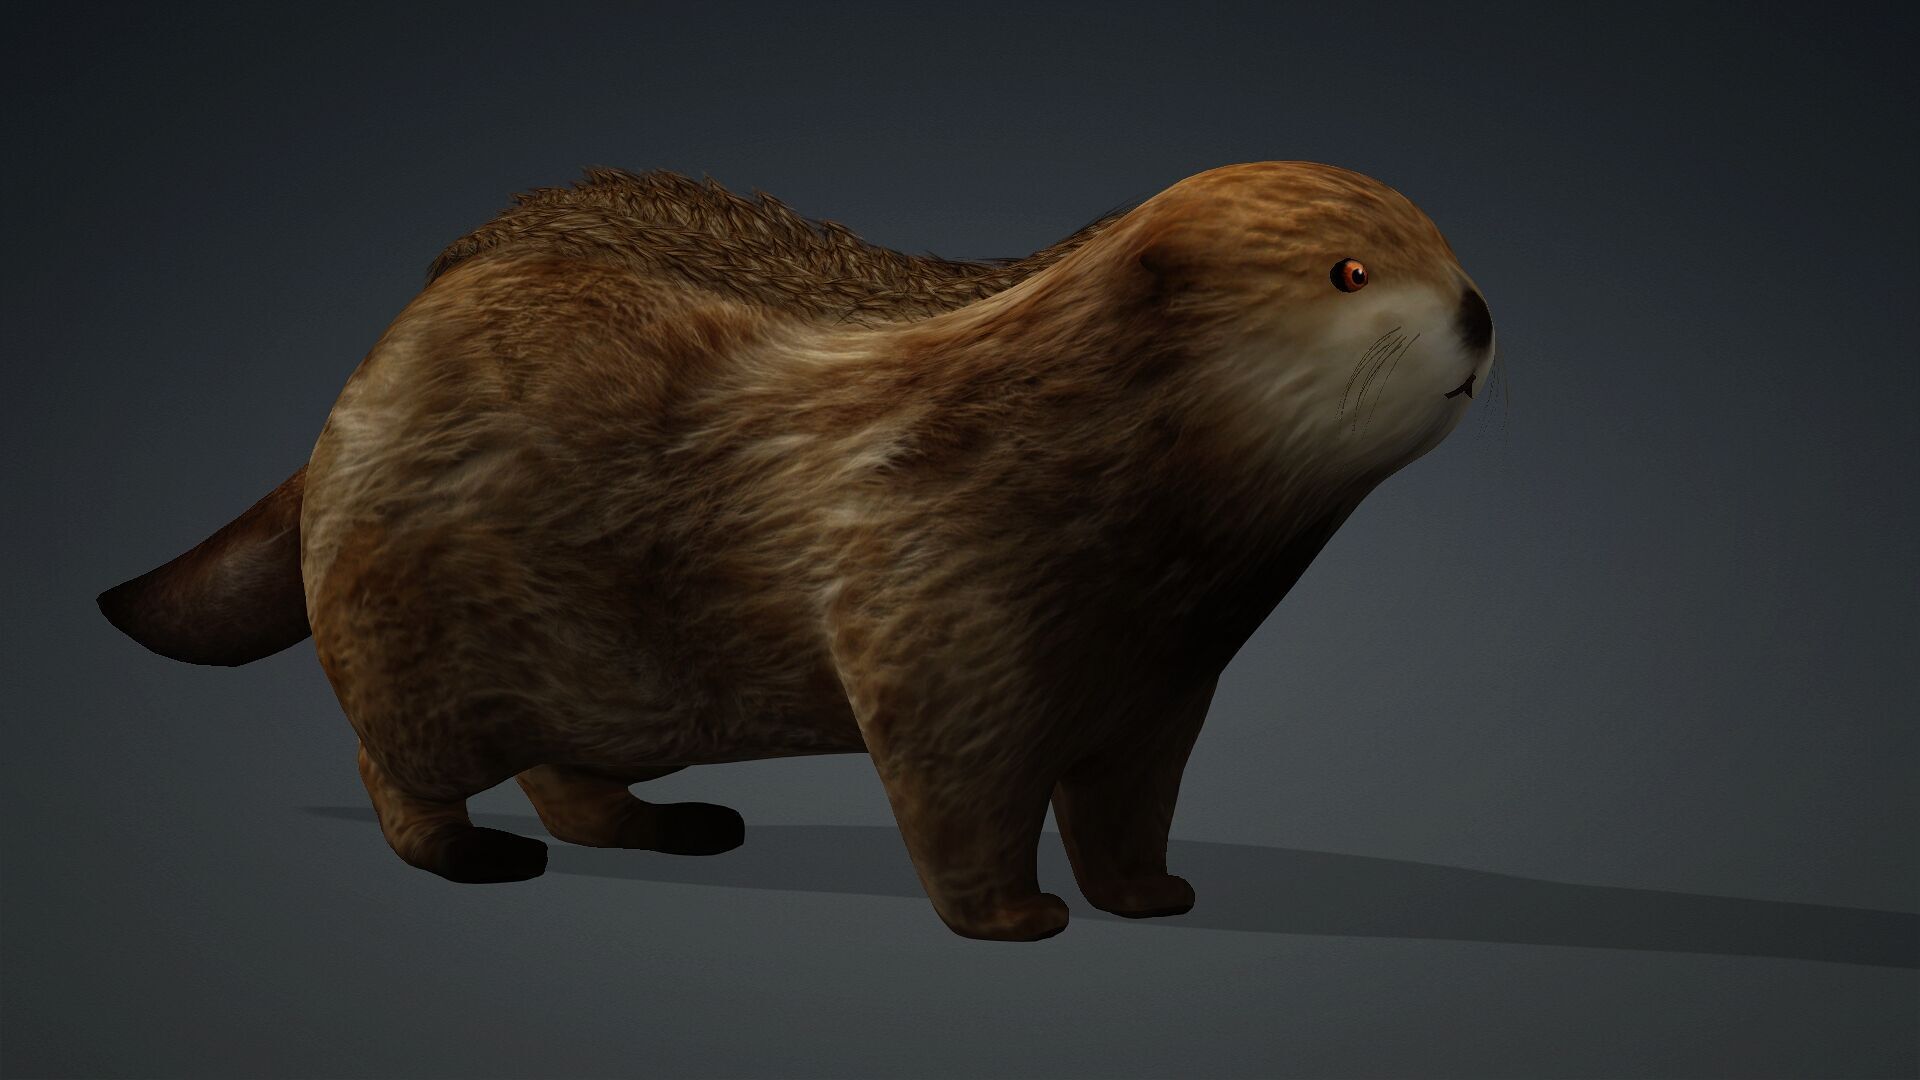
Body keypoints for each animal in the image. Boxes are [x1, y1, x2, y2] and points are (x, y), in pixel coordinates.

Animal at [99, 162, 1494, 941]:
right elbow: (954, 791)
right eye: (1349, 269)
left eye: (1445, 246)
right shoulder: (929, 599)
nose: (1480, 310)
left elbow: (1128, 803)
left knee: (568, 773)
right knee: (395, 760)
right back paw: (475, 853)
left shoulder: (1161, 687)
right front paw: (1018, 917)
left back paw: (676, 824)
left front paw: (1152, 895)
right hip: (413, 627)